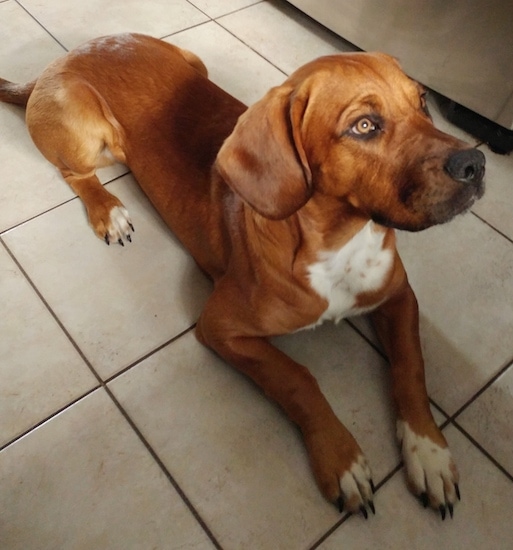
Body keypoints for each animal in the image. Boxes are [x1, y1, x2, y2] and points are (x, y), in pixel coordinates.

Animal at [1, 33, 484, 520]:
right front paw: (341, 457)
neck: (342, 242)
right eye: (364, 126)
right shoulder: (221, 327)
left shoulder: (399, 297)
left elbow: (411, 367)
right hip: (81, 129)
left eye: (422, 103)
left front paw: (429, 453)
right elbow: (297, 378)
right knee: (75, 173)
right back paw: (108, 210)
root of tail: (59, 61)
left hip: (194, 62)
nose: (476, 163)